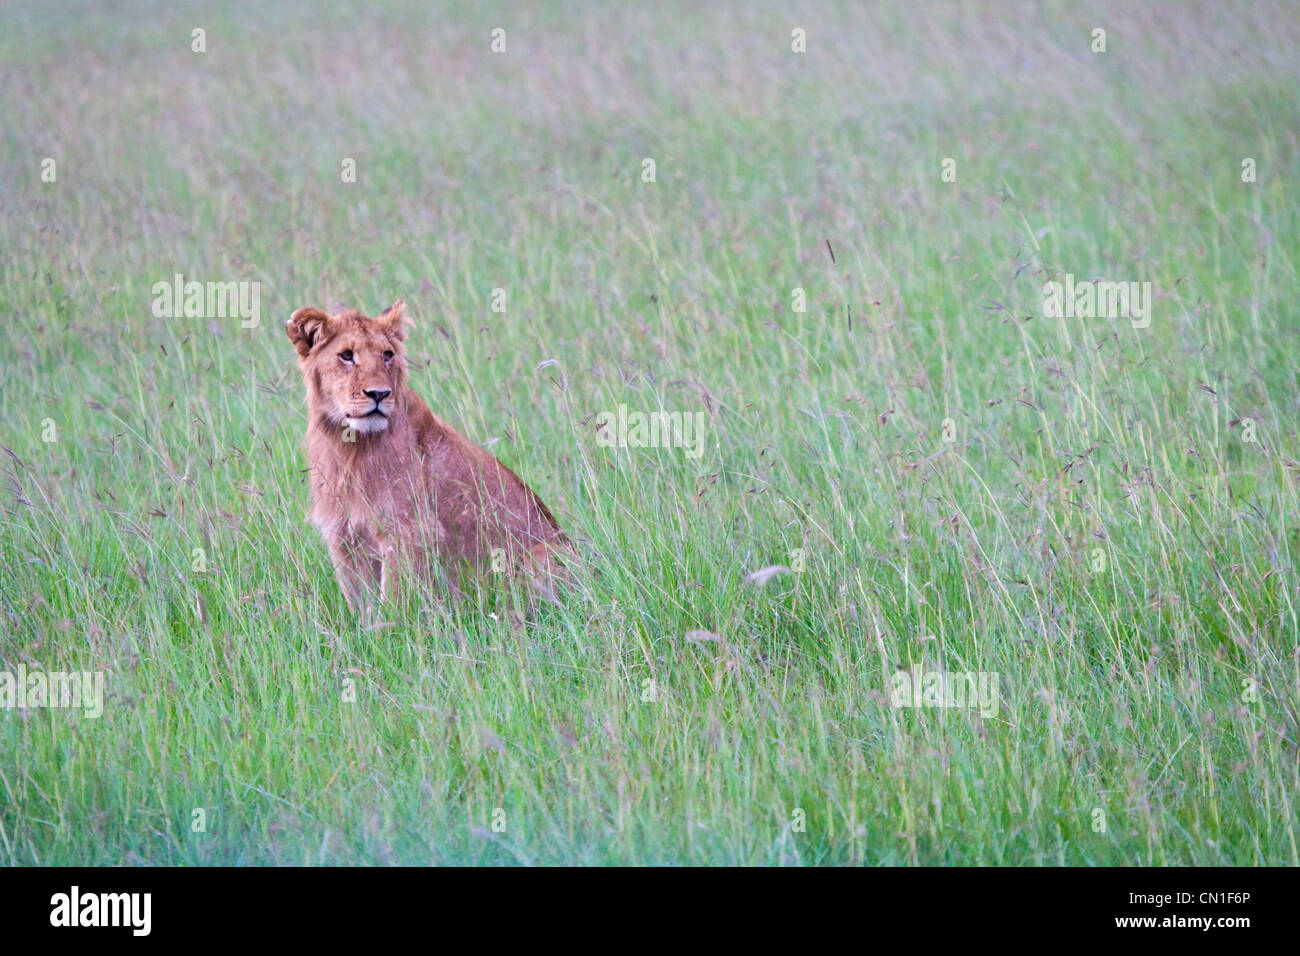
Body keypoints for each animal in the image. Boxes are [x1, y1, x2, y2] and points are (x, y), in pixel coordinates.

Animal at [287, 299, 572, 613]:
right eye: (346, 356)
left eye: (387, 355)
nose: (379, 394)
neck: (348, 445)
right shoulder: (343, 537)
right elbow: (361, 607)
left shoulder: (408, 532)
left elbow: (393, 602)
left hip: (541, 554)